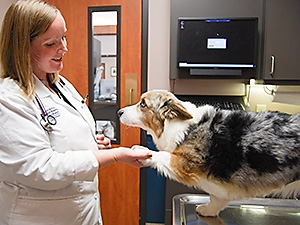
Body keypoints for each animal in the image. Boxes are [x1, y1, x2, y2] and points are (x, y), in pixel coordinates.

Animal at [116, 90, 300, 217]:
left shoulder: (184, 164)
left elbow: (160, 155)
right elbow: (217, 199)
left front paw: (142, 152)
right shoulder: (221, 189)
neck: (175, 124)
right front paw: (208, 210)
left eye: (143, 104)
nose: (119, 112)